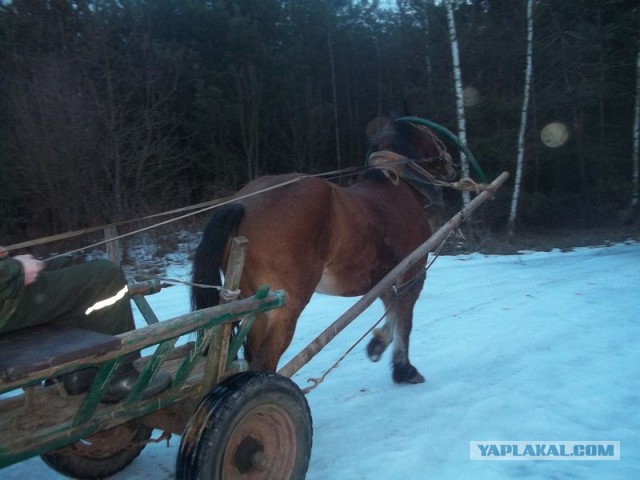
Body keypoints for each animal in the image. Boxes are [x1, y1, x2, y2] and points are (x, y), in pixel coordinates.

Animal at [192, 118, 458, 384]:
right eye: (433, 136)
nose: (451, 162)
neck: (398, 187)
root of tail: (242, 204)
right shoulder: (413, 271)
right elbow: (404, 318)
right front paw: (404, 369)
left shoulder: (382, 277)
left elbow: (392, 310)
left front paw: (377, 345)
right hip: (285, 308)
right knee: (265, 362)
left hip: (256, 307)